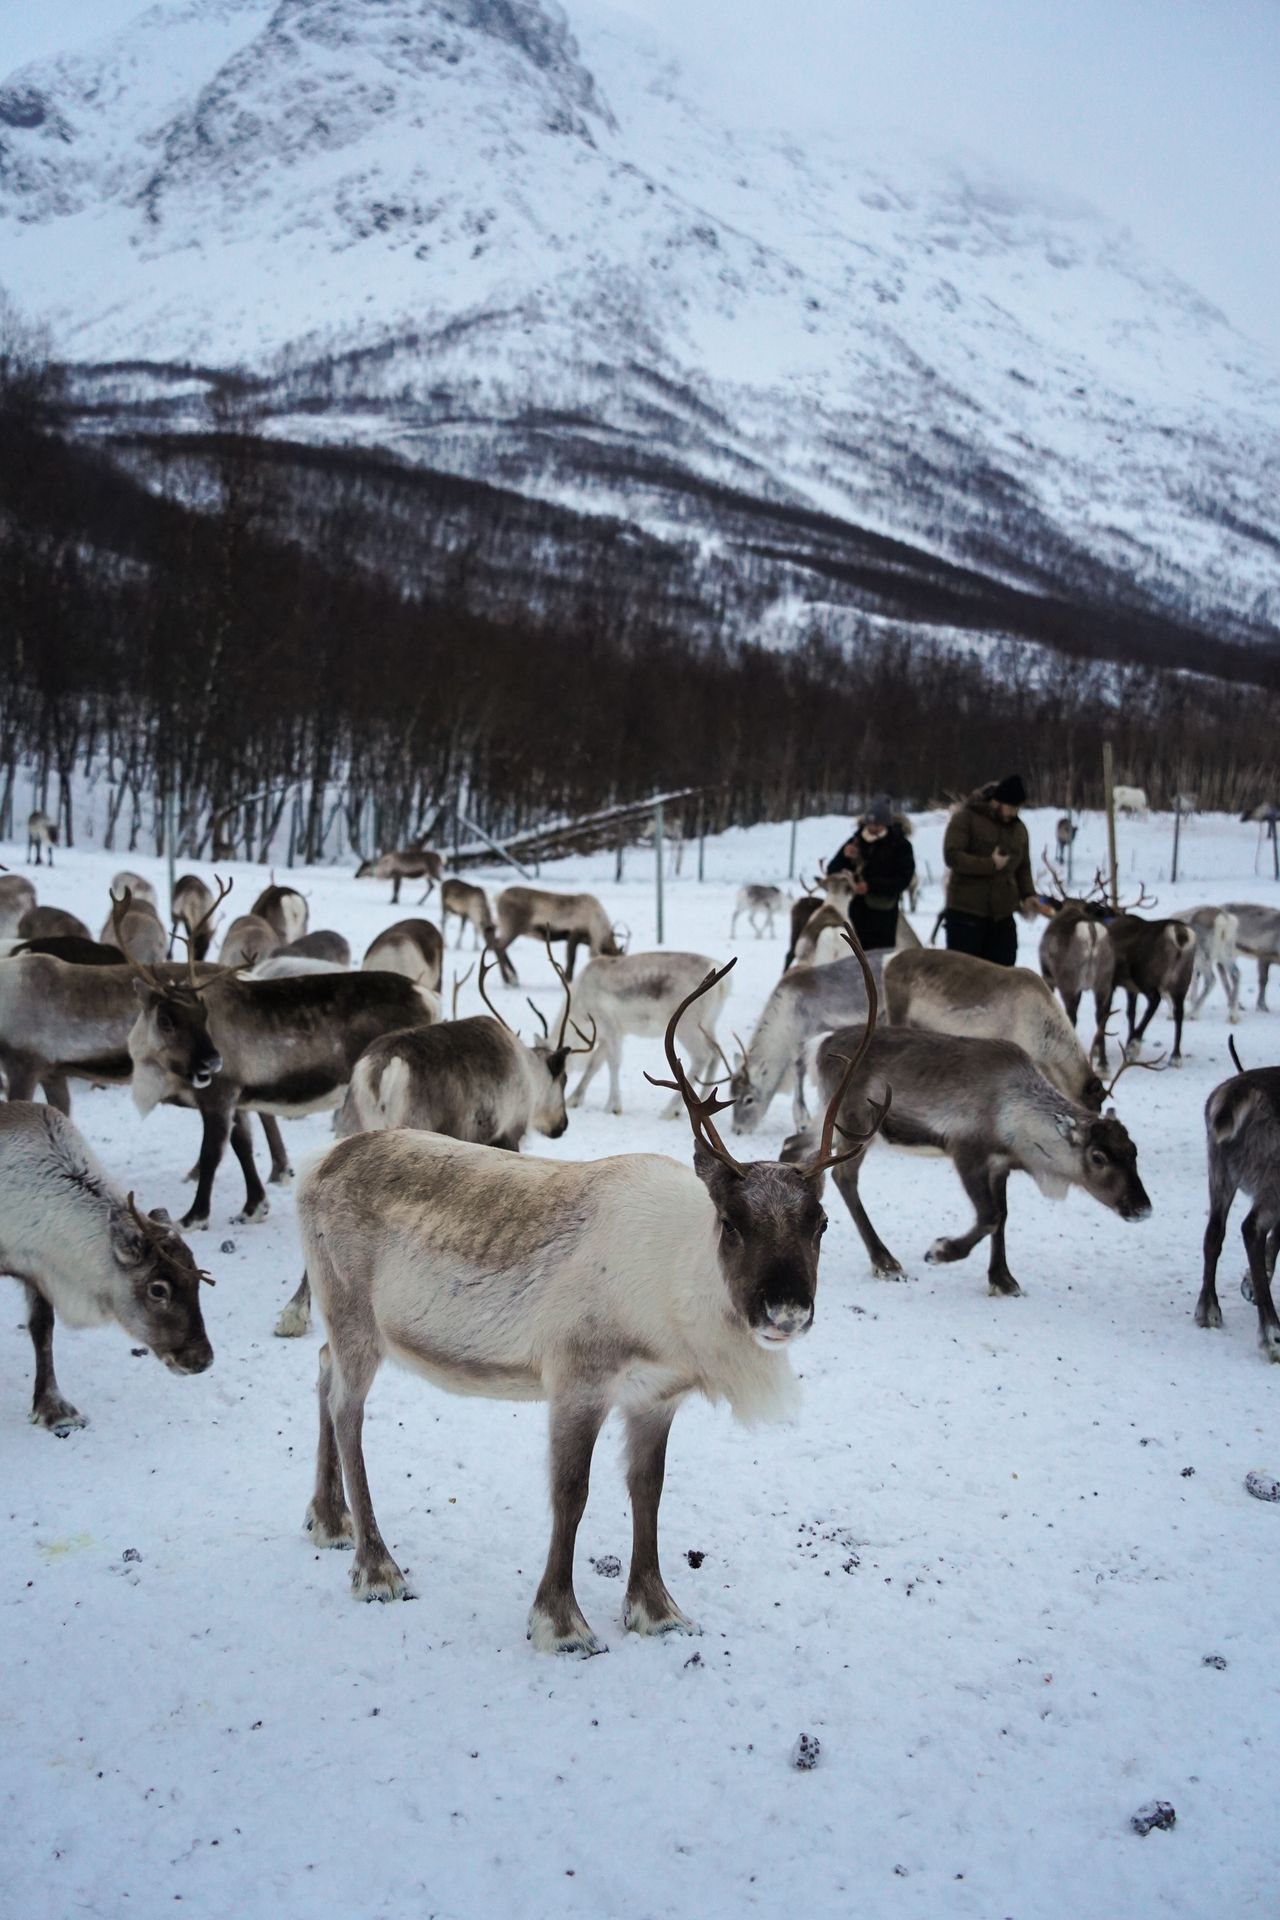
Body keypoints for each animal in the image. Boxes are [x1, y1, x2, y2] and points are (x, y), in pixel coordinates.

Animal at [0, 1102, 213, 1432]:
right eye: (157, 1290)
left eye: (197, 1282)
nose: (202, 1359)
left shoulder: (38, 1271)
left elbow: (42, 1329)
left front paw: (54, 1407)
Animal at [276, 953, 594, 1338]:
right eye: (562, 1079)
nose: (561, 1126)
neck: (527, 1071)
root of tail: (380, 1071)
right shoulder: (505, 1133)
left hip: (347, 1127)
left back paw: (294, 1313)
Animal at [490, 886, 624, 986]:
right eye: (614, 961)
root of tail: (498, 897)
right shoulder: (574, 934)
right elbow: (571, 959)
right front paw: (567, 980)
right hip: (512, 927)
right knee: (499, 947)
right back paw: (508, 980)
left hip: (509, 928)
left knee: (497, 944)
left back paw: (514, 977)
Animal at [564, 950, 732, 1117]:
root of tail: (719, 973)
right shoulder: (612, 1035)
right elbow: (594, 1064)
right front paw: (573, 1099)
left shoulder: (611, 1027)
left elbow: (613, 1063)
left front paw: (613, 1107)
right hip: (708, 1025)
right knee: (716, 1053)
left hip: (687, 1027)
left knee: (702, 1057)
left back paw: (670, 1110)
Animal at [1197, 1042, 1280, 1361]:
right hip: (1274, 1180)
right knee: (1251, 1228)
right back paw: (1271, 1335)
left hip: (1219, 1170)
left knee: (1214, 1232)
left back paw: (1208, 1311)